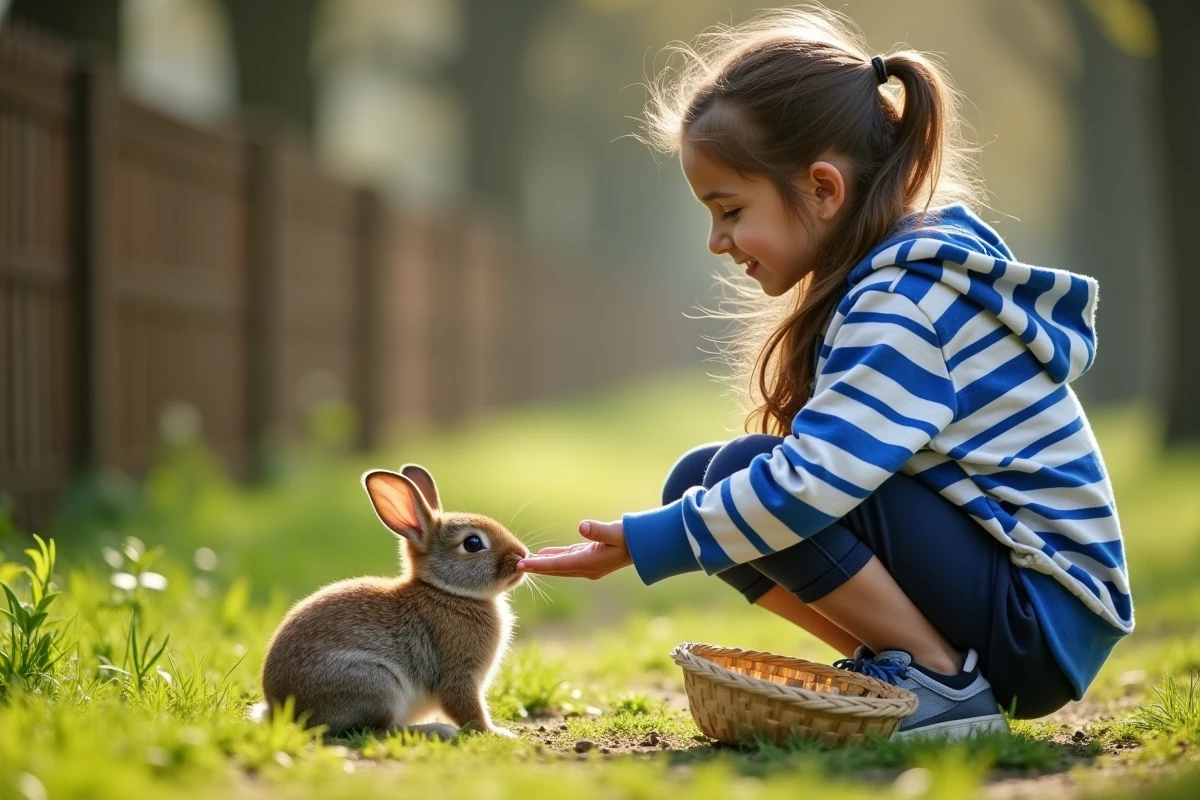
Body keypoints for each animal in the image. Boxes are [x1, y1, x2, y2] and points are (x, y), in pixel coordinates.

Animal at [260, 464, 529, 740]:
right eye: (473, 543)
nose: (521, 555)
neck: (448, 591)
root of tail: (281, 710)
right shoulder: (459, 676)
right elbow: (467, 708)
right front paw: (498, 733)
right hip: (377, 682)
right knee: (378, 730)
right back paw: (436, 730)